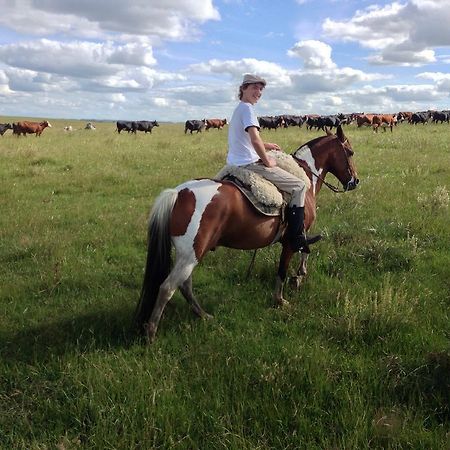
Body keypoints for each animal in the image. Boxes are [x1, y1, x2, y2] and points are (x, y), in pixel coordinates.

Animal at [134, 124, 358, 342]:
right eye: (350, 152)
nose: (355, 181)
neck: (305, 175)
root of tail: (178, 194)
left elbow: (305, 251)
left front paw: (299, 276)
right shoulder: (292, 238)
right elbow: (286, 265)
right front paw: (282, 297)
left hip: (188, 256)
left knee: (185, 285)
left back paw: (202, 315)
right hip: (191, 255)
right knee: (167, 287)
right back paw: (151, 332)